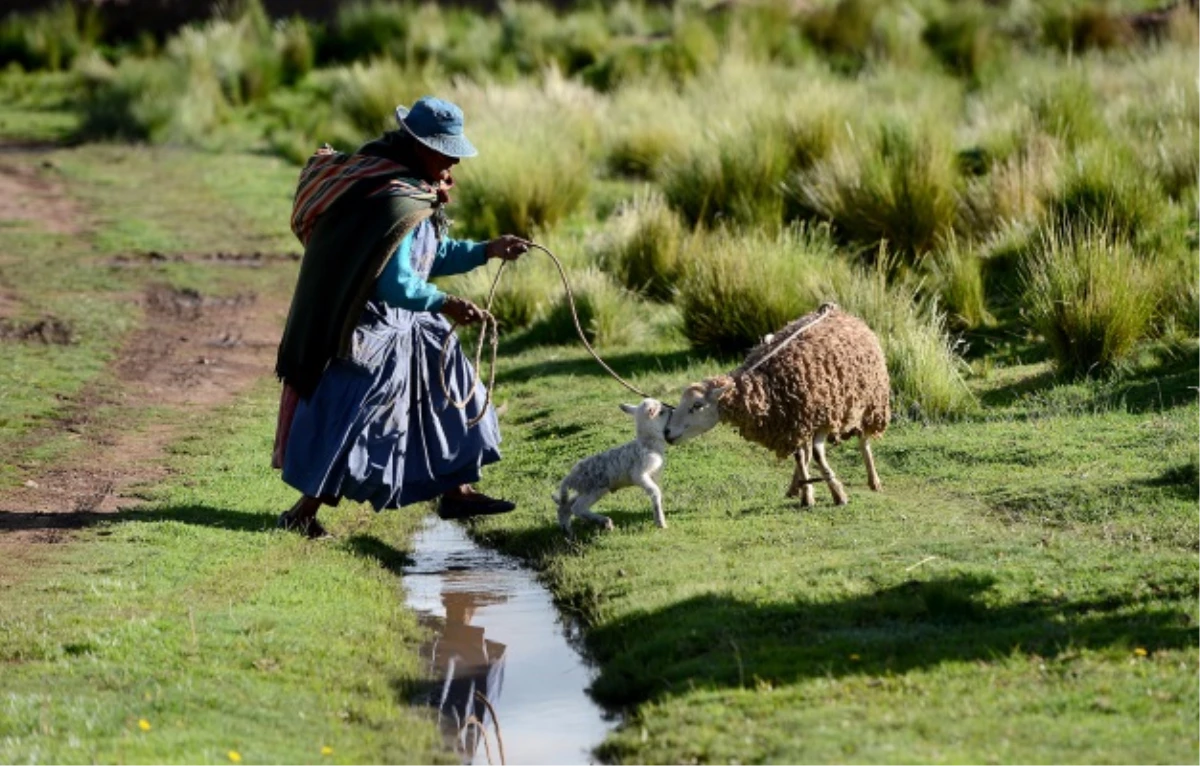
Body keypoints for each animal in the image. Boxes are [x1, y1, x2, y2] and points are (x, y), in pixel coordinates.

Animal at [549, 403, 672, 533]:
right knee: (577, 508)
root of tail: (570, 477)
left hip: (584, 490)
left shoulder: (653, 474)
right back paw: (605, 522)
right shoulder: (638, 474)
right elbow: (655, 492)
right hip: (595, 489)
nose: (671, 409)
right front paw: (661, 522)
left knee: (565, 506)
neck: (648, 445)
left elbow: (656, 492)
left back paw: (567, 531)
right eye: (661, 412)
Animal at [667, 302, 892, 506]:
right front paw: (807, 495)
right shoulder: (794, 421)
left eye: (697, 405)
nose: (667, 433)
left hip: (871, 402)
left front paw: (837, 494)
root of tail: (838, 310)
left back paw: (874, 481)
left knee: (863, 441)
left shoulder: (822, 415)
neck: (766, 384)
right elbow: (801, 456)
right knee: (805, 453)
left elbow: (817, 455)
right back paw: (795, 487)